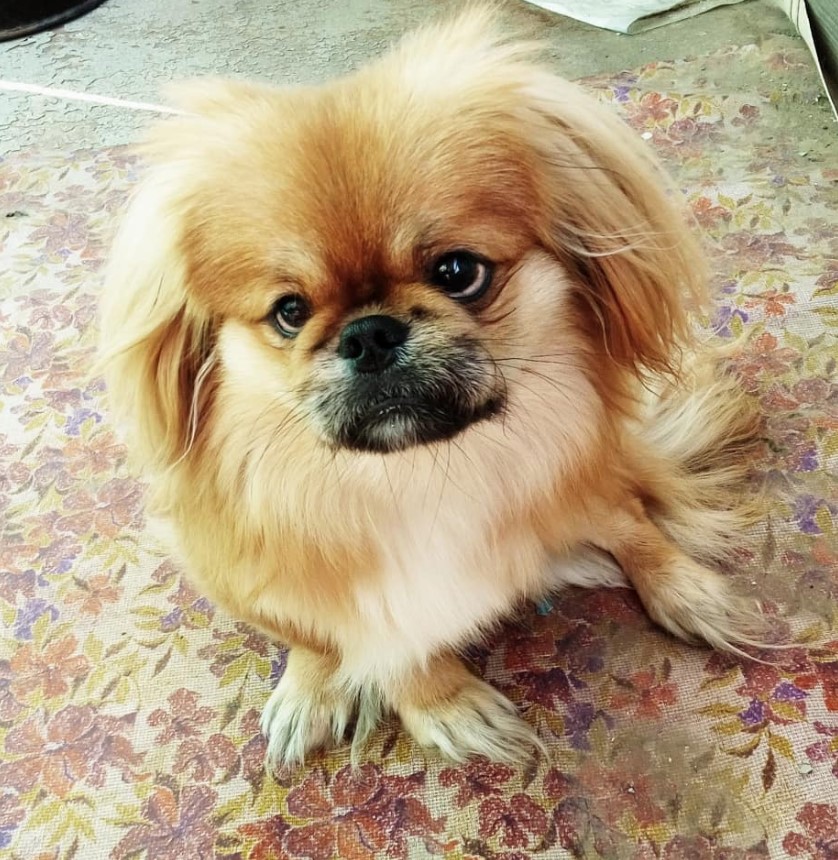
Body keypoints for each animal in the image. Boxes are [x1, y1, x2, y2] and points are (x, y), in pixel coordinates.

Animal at [98, 10, 768, 768]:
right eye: (290, 312)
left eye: (457, 272)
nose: (369, 334)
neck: (412, 477)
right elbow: (363, 644)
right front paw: (438, 703)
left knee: (628, 515)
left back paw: (689, 593)